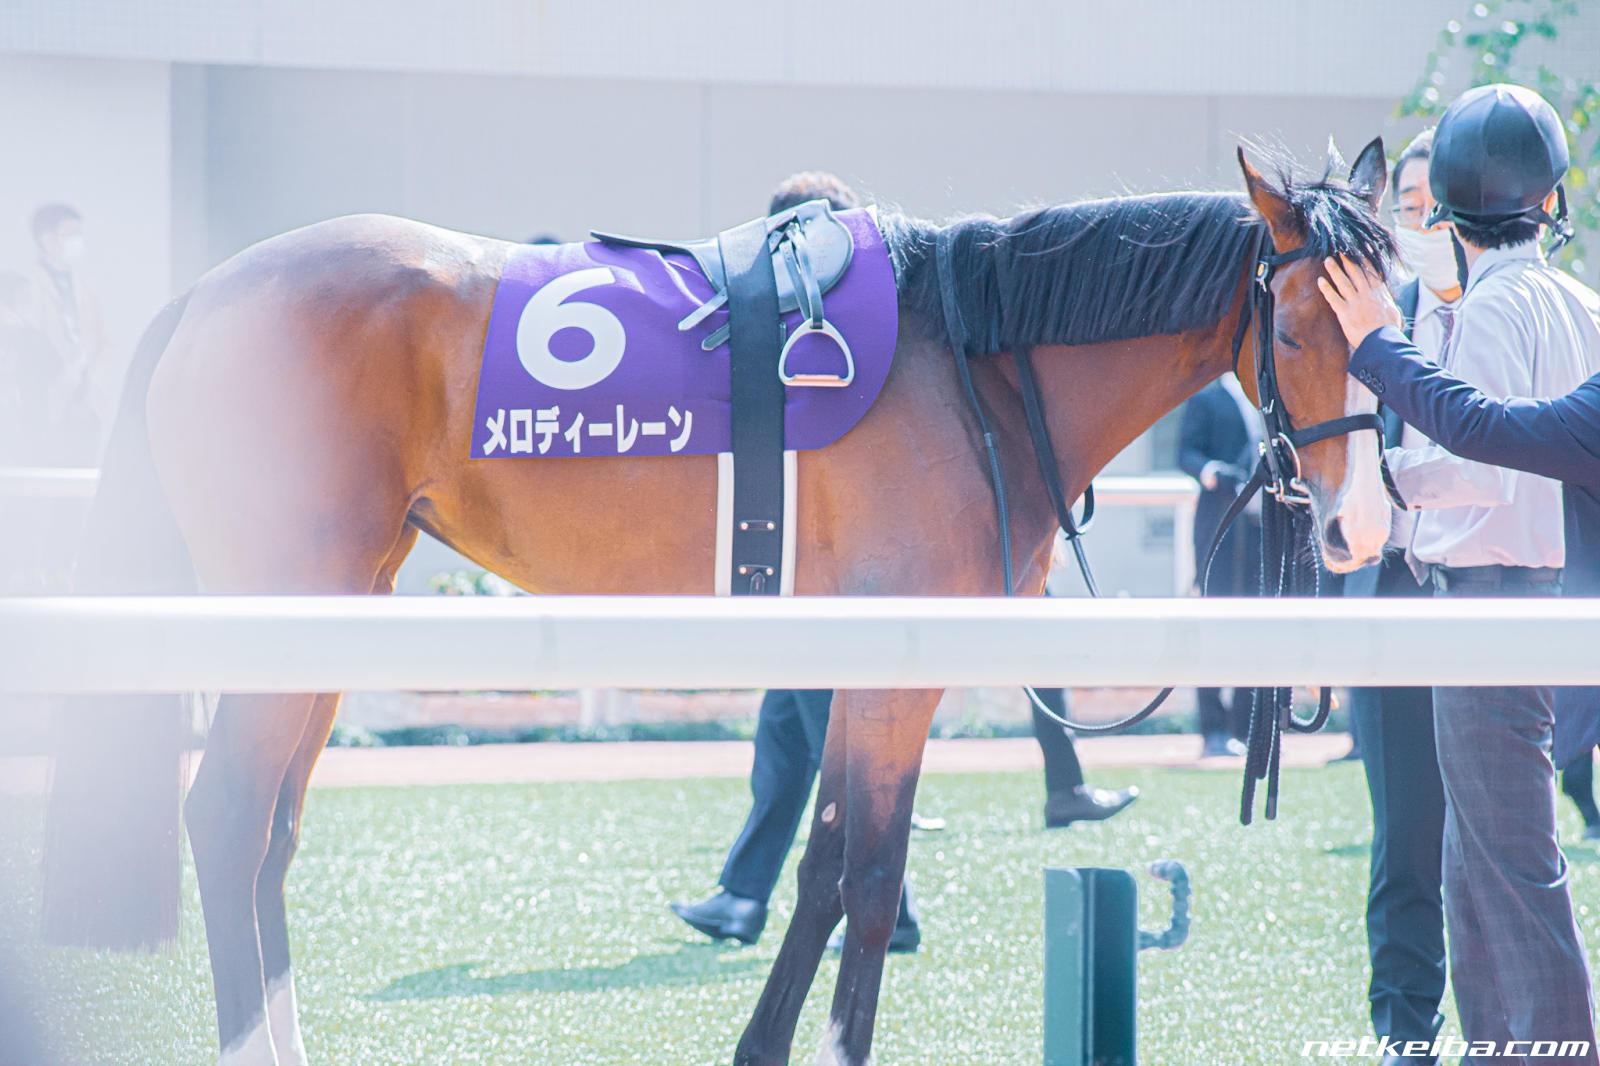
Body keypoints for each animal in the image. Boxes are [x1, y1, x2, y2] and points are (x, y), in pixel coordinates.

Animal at [43, 138, 1395, 1066]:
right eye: (1296, 323)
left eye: (1399, 316)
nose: (1360, 526)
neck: (974, 361)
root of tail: (204, 293)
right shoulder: (900, 669)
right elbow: (867, 876)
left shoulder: (866, 665)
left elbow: (828, 858)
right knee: (227, 817)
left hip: (335, 609)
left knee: (270, 833)